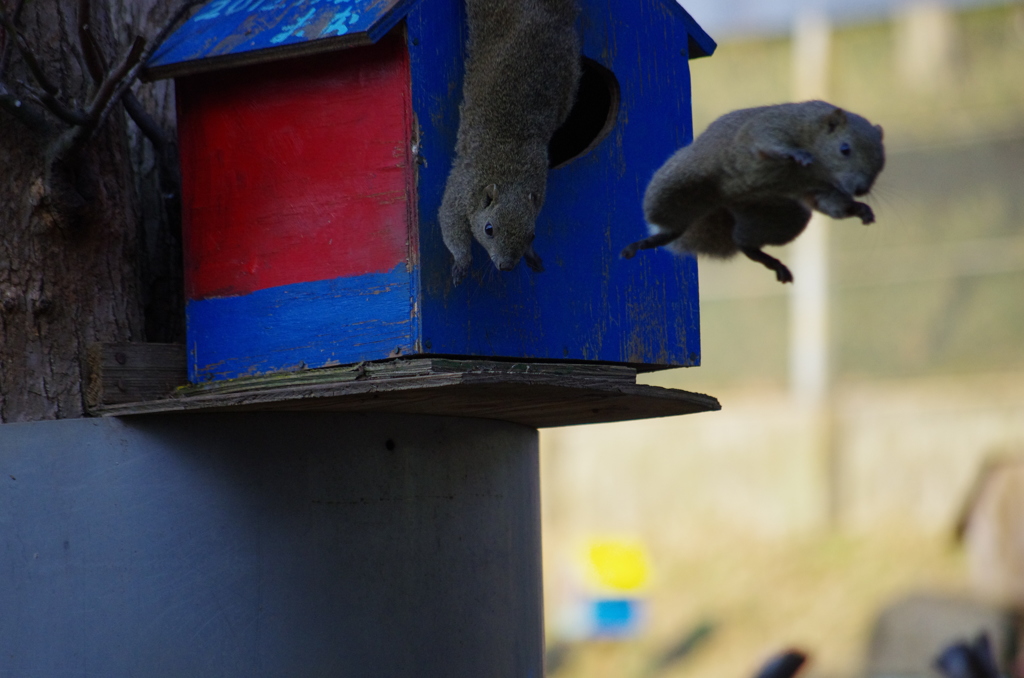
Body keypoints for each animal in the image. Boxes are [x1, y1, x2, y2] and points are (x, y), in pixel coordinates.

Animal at [440, 0, 585, 284]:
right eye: (489, 229)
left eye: (531, 235)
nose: (506, 266)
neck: (511, 174)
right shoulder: (462, 186)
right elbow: (449, 220)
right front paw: (462, 261)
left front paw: (532, 256)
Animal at [618, 99, 884, 282]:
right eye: (844, 149)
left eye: (881, 163)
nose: (861, 189)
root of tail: (723, 202)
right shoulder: (772, 125)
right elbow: (768, 140)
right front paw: (797, 154)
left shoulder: (820, 189)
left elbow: (832, 205)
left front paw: (860, 209)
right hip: (675, 186)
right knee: (671, 227)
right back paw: (645, 243)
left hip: (780, 218)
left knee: (743, 243)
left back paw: (769, 260)